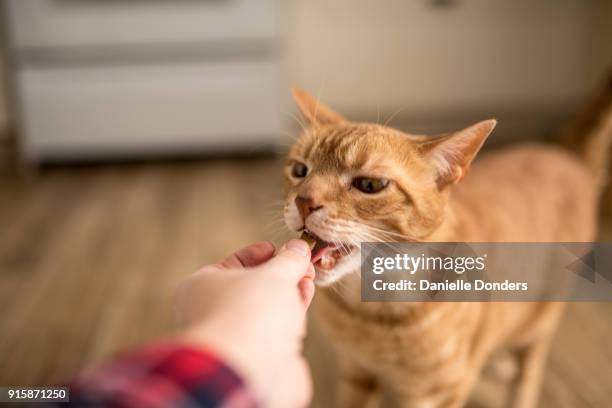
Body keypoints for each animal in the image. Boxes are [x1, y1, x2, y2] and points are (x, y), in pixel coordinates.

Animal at [284, 87, 612, 408]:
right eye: (300, 170)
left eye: (369, 185)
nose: (304, 201)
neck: (371, 313)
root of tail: (567, 155)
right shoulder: (357, 372)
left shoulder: (437, 393)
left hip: (542, 314)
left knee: (530, 366)